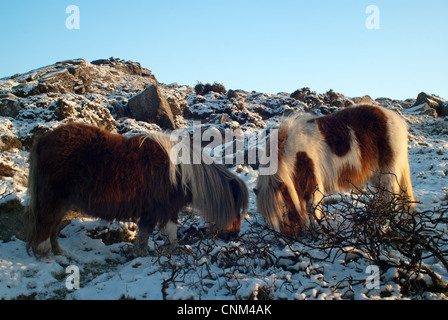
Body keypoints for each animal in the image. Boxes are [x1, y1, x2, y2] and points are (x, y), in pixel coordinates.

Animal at [26, 121, 248, 256]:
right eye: (236, 210)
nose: (234, 235)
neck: (181, 173)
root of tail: (44, 140)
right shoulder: (167, 210)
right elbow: (171, 234)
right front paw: (173, 252)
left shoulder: (150, 213)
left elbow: (143, 236)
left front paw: (140, 255)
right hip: (54, 200)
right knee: (45, 226)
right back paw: (48, 256)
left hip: (63, 203)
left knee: (53, 227)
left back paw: (61, 254)